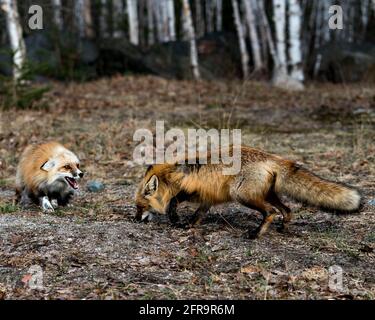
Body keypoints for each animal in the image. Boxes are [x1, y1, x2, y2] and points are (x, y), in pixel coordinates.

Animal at [135, 146, 362, 239]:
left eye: (140, 206)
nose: (135, 220)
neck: (171, 174)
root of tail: (274, 157)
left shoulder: (192, 191)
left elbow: (174, 201)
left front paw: (175, 219)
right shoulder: (208, 198)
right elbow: (198, 215)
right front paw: (188, 225)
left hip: (242, 195)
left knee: (271, 212)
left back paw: (256, 234)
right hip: (267, 195)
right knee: (287, 210)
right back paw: (282, 228)